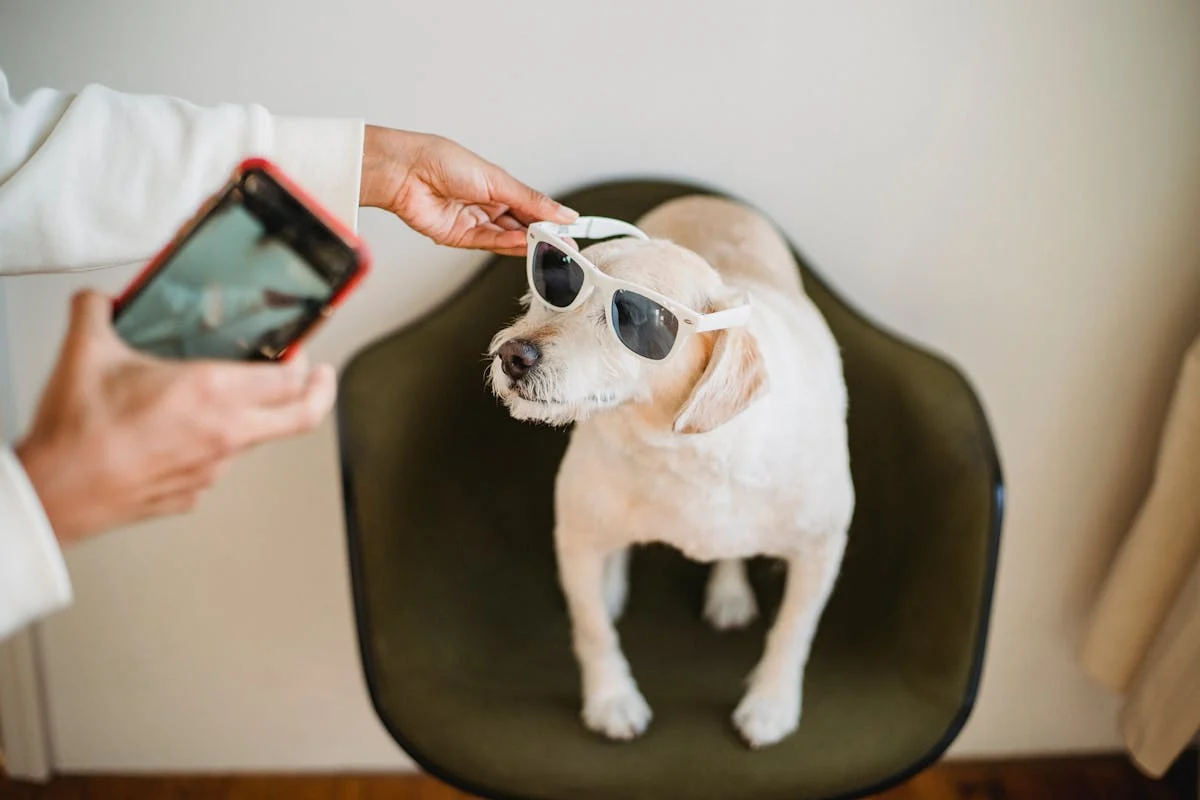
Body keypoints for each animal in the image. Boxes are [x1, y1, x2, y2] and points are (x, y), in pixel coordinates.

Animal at [484, 195, 854, 753]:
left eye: (634, 318)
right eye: (555, 283)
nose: (512, 355)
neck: (680, 450)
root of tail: (706, 198)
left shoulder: (821, 548)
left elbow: (792, 632)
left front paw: (771, 704)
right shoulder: (574, 535)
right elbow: (593, 629)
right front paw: (611, 700)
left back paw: (728, 592)